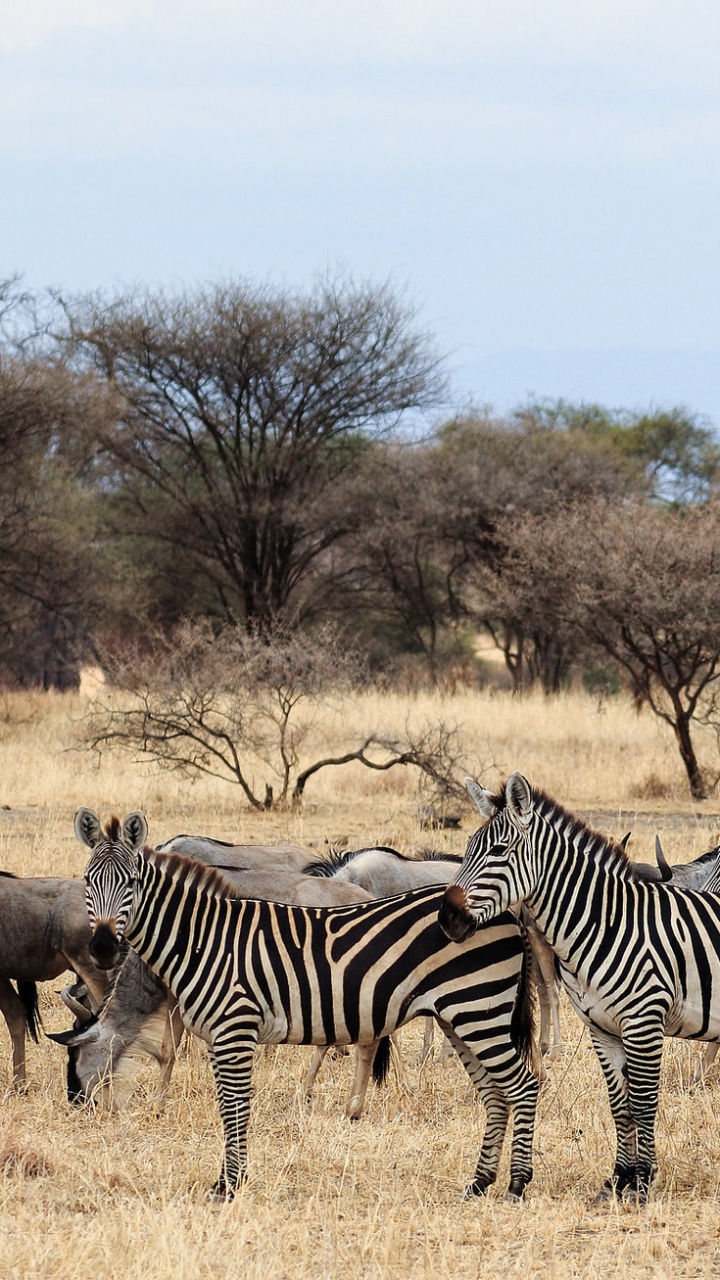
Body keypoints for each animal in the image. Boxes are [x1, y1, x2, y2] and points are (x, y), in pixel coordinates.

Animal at [74, 807, 540, 1202]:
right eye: (87, 881)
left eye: (131, 883)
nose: (102, 948)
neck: (203, 939)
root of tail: (504, 914)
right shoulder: (217, 1035)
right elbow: (224, 1100)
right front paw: (229, 1179)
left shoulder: (234, 1028)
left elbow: (234, 1106)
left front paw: (230, 1184)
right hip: (459, 1016)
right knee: (495, 1092)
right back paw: (479, 1182)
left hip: (477, 1010)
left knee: (524, 1084)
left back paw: (516, 1184)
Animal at [438, 772, 720, 1204]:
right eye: (467, 850)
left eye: (499, 851)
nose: (447, 919)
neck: (608, 923)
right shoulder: (600, 1027)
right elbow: (619, 1104)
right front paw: (618, 1181)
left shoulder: (644, 1021)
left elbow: (643, 1102)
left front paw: (642, 1184)